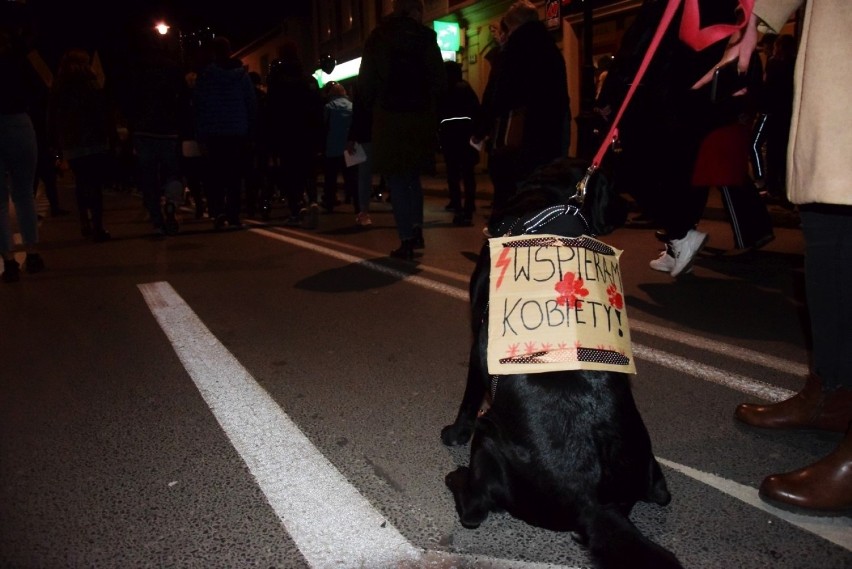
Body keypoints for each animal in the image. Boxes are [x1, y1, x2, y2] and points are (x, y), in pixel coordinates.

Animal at [442, 156, 684, 568]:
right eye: (614, 184)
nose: (629, 207)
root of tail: (596, 504)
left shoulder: (480, 343)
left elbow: (469, 398)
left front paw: (455, 432)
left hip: (488, 438)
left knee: (473, 509)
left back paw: (457, 479)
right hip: (650, 464)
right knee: (663, 493)